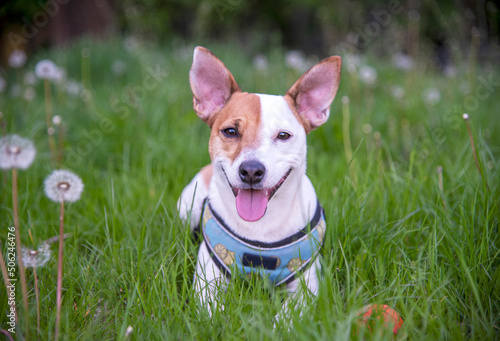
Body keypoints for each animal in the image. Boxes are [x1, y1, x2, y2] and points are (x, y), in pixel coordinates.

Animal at [178, 46, 342, 320]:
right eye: (230, 131)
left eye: (283, 135)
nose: (252, 171)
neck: (261, 227)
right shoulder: (208, 277)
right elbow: (210, 311)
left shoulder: (306, 285)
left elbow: (287, 317)